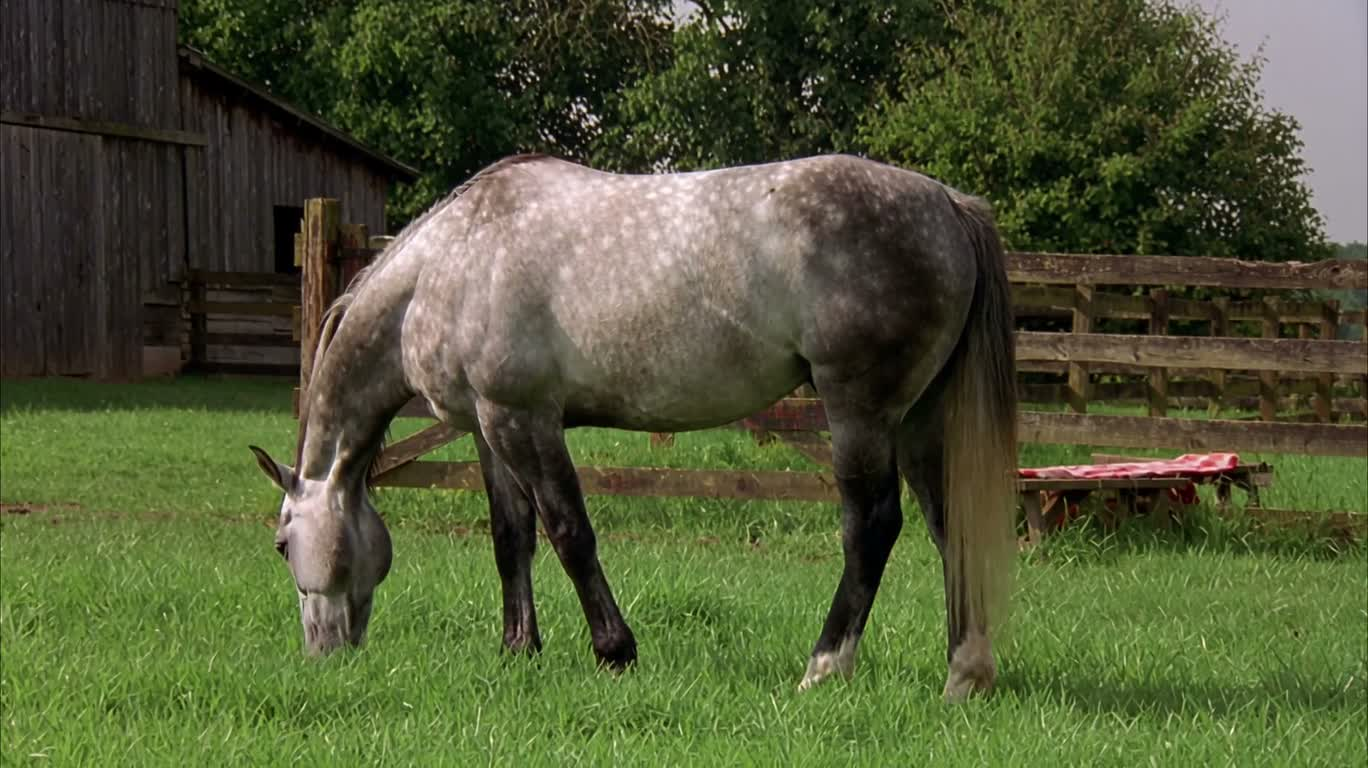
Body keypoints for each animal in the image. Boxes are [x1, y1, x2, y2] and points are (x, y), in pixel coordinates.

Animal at [249, 153, 1018, 701]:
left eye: (284, 545)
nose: (322, 651)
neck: (449, 264)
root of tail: (947, 206)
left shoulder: (525, 420)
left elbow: (570, 533)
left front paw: (614, 652)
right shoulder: (489, 427)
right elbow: (511, 539)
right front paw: (518, 651)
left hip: (859, 411)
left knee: (873, 528)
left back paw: (824, 668)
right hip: (917, 420)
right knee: (950, 526)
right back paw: (965, 675)